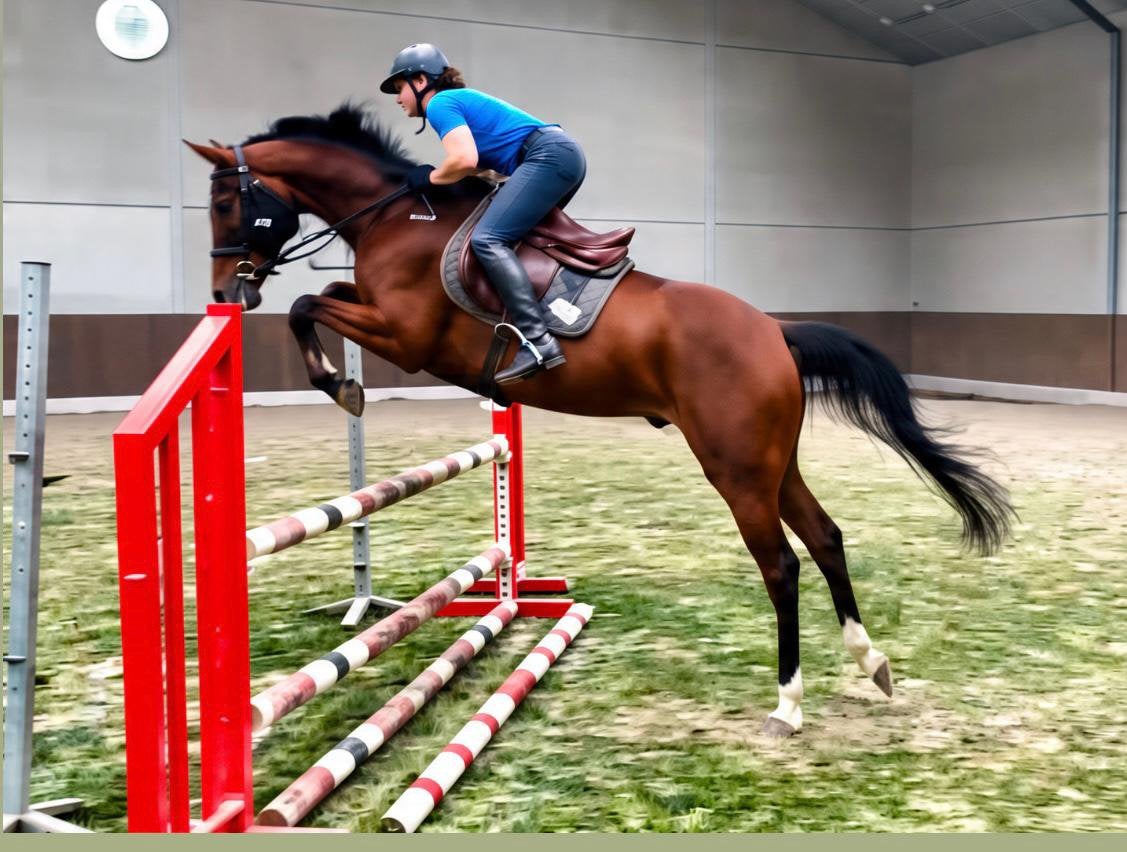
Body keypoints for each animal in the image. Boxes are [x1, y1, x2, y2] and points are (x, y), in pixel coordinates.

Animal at [187, 105, 1013, 737]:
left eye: (227, 204)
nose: (228, 292)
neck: (395, 216)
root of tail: (774, 331)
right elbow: (320, 297)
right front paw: (340, 379)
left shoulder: (406, 336)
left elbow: (308, 304)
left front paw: (341, 386)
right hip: (773, 462)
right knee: (826, 538)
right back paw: (870, 663)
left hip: (735, 467)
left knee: (780, 565)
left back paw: (787, 705)